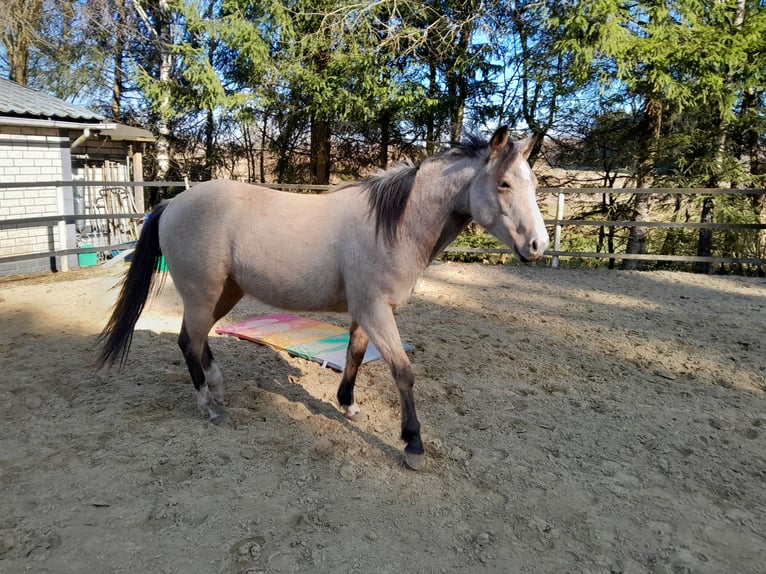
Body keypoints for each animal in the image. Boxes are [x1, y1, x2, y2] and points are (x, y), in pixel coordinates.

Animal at [97, 126, 550, 470]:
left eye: (532, 183)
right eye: (504, 183)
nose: (538, 245)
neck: (395, 224)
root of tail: (172, 203)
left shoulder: (365, 312)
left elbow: (354, 355)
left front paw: (347, 404)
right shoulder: (376, 310)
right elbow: (403, 372)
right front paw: (413, 444)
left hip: (225, 292)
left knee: (198, 338)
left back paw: (219, 388)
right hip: (202, 293)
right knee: (189, 342)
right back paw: (210, 406)